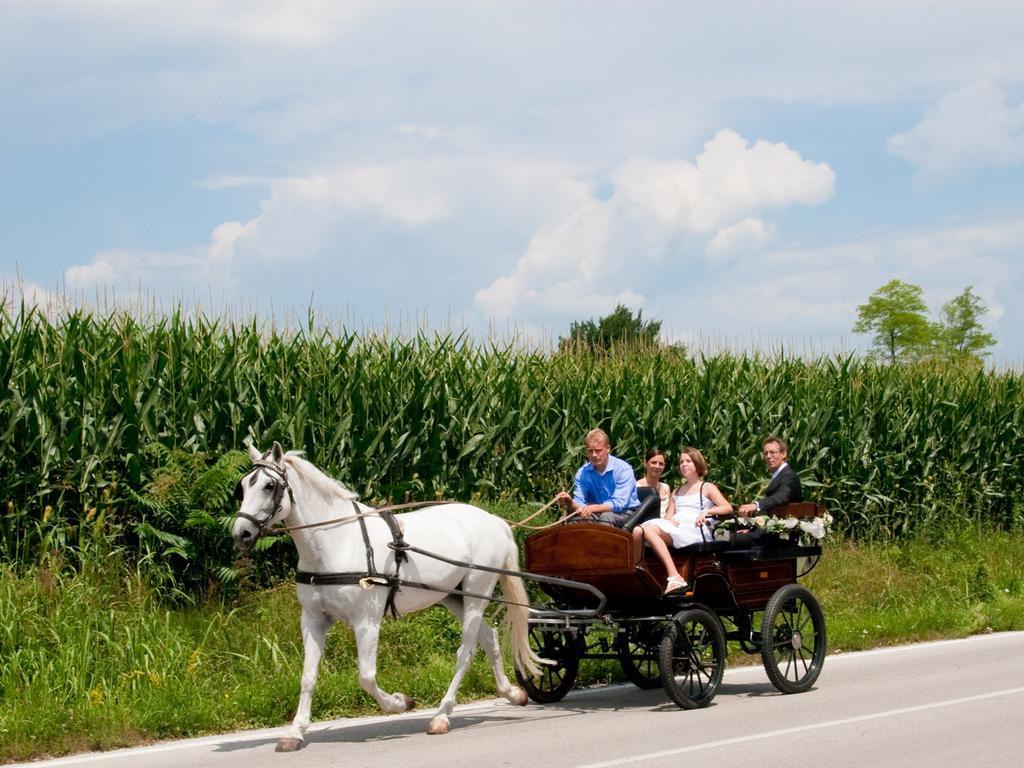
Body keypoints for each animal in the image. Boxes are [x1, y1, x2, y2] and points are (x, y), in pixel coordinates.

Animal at [229, 444, 540, 753]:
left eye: (270, 485)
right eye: (243, 487)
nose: (240, 534)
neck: (339, 541)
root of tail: (494, 520)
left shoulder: (366, 622)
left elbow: (366, 677)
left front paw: (400, 702)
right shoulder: (313, 620)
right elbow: (308, 677)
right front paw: (295, 732)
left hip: (477, 592)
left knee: (466, 651)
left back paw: (441, 715)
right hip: (453, 596)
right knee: (489, 637)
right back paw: (511, 693)